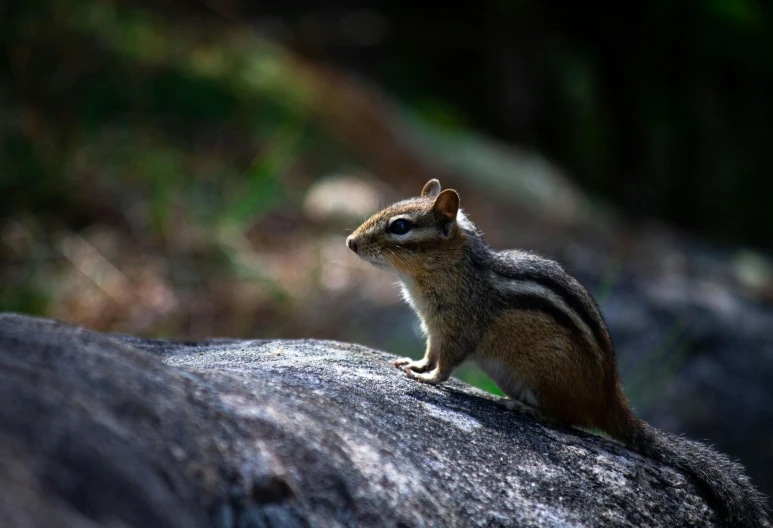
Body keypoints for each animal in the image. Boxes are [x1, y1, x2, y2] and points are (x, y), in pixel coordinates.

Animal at [348, 179, 764, 524]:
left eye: (400, 226)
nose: (350, 242)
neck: (452, 271)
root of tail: (609, 398)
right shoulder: (432, 329)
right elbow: (430, 353)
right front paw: (413, 364)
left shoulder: (458, 327)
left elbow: (447, 364)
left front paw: (428, 378)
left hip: (547, 374)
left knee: (567, 419)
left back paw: (524, 408)